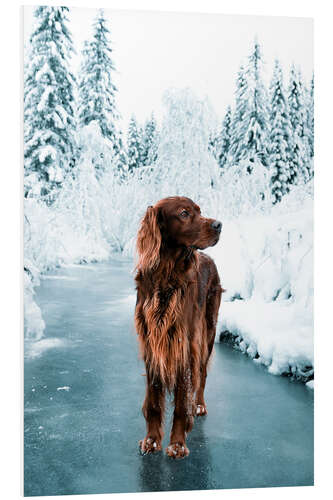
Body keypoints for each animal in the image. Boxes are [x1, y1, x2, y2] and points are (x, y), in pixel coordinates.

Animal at [134, 194, 222, 458]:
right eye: (184, 213)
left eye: (200, 211)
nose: (219, 225)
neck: (167, 274)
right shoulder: (153, 344)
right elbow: (154, 400)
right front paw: (152, 441)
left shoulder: (183, 344)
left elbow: (183, 401)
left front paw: (177, 444)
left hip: (208, 332)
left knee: (201, 374)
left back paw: (199, 405)